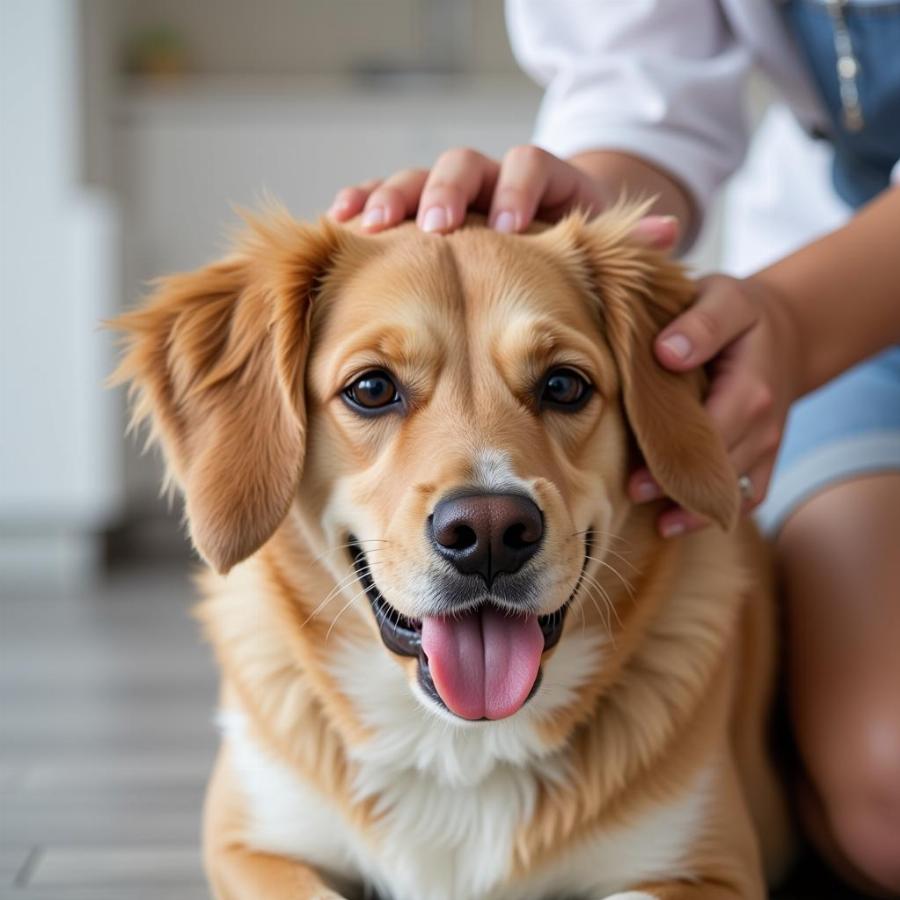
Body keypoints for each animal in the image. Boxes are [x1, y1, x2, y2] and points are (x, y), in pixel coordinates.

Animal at [114, 206, 796, 900]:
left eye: (563, 385)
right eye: (371, 387)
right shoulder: (248, 844)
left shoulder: (714, 871)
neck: (457, 744)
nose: (491, 532)